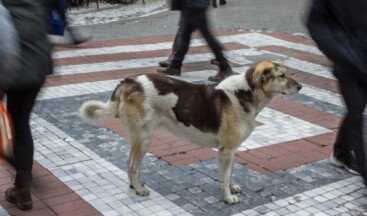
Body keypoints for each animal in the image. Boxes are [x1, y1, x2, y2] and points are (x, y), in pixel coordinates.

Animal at [80, 61, 302, 204]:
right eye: (281, 76)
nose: (301, 86)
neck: (245, 93)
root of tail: (127, 81)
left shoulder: (231, 151)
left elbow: (230, 174)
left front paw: (232, 188)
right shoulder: (226, 151)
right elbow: (224, 177)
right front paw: (228, 198)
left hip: (139, 137)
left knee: (129, 162)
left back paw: (134, 186)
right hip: (144, 138)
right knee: (133, 164)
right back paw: (140, 189)